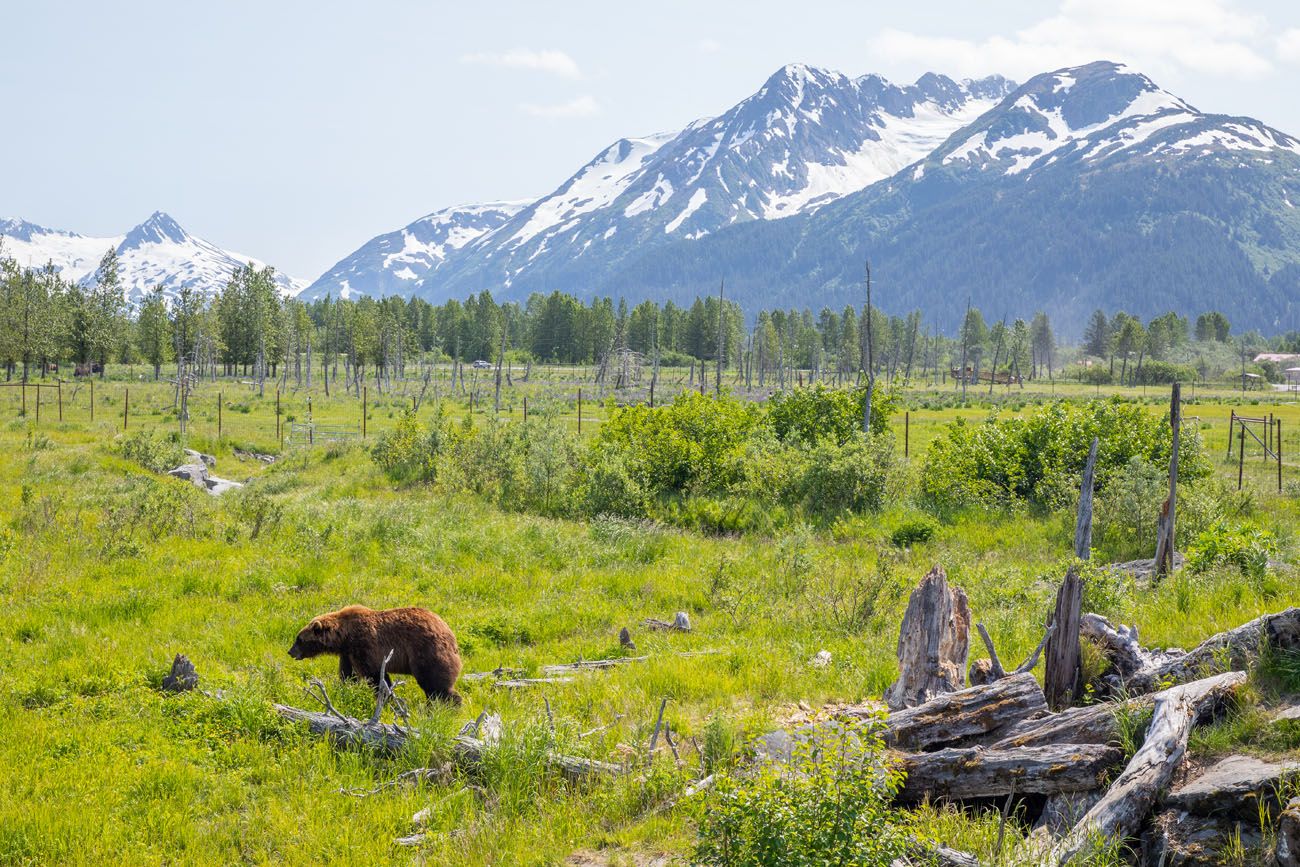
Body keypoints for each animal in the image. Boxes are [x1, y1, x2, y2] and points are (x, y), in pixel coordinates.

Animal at [289, 603, 462, 707]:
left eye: (299, 639)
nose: (290, 651)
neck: (344, 636)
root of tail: (451, 634)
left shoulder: (365, 645)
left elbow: (375, 675)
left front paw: (385, 699)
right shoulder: (348, 653)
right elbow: (348, 674)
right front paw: (346, 689)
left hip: (426, 651)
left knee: (434, 683)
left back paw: (449, 706)